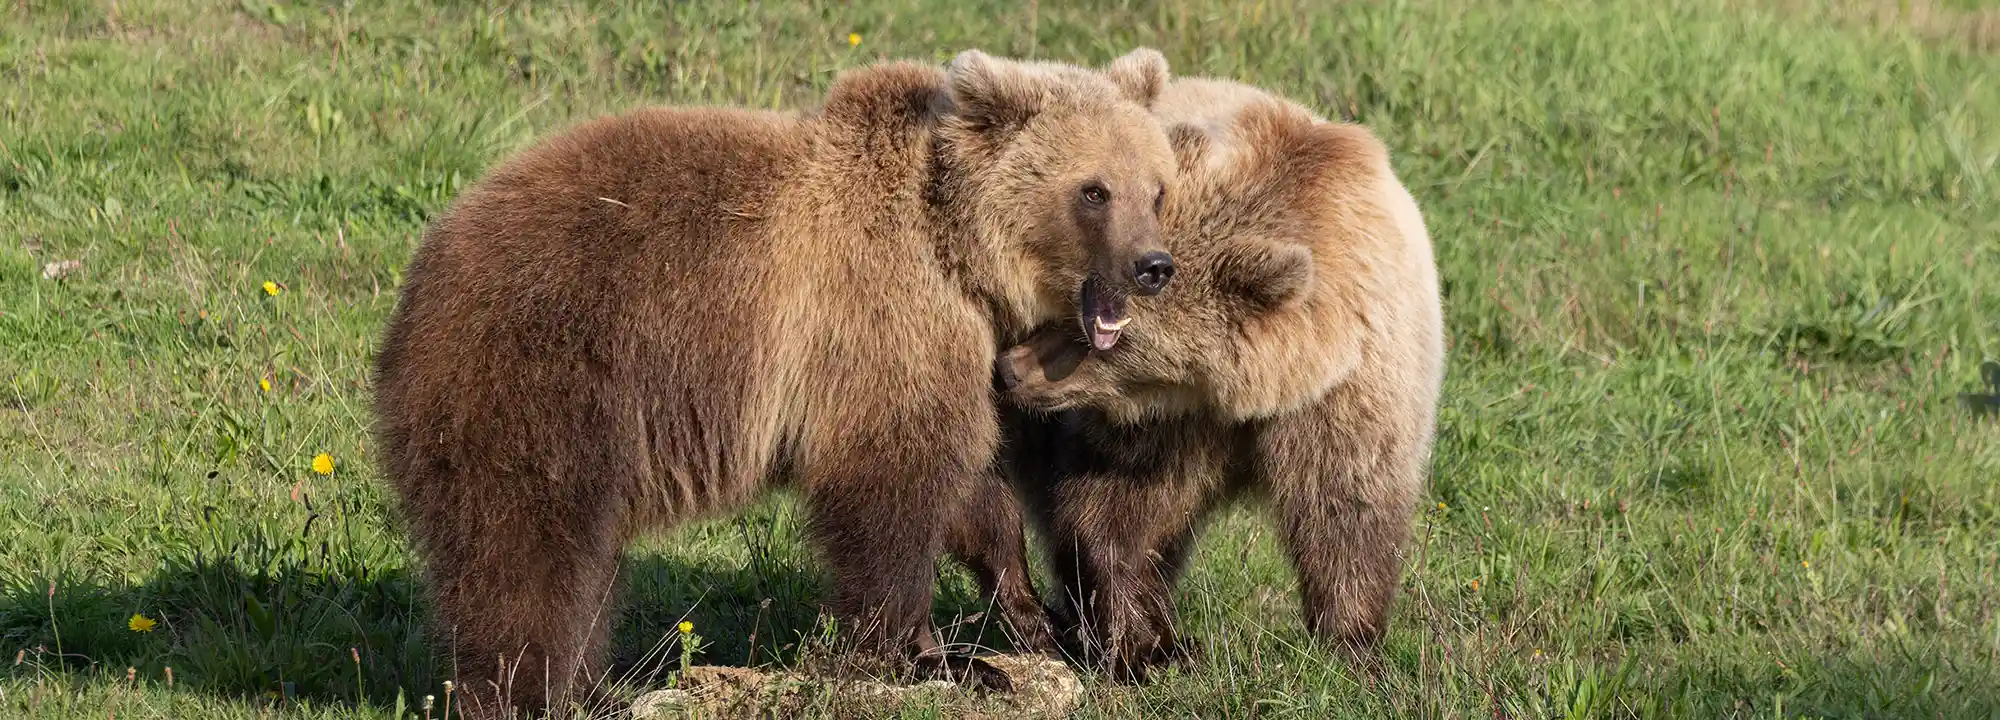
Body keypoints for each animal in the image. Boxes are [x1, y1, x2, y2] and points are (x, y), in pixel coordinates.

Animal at [369, 48, 1182, 717]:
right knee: (525, 555)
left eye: (1156, 189)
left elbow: (972, 490)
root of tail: (421, 273)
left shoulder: (955, 355)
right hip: (541, 380)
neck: (959, 255)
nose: (1153, 266)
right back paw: (535, 693)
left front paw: (1037, 621)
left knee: (578, 566)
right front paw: (928, 655)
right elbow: (892, 492)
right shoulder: (875, 320)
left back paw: (592, 687)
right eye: (1094, 191)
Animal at [958, 76, 1444, 682]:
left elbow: (1349, 508)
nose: (1009, 369)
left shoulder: (1351, 391)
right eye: (1071, 303)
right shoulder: (1160, 419)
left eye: (1105, 332)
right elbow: (1115, 507)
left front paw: (1352, 646)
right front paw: (1134, 640)